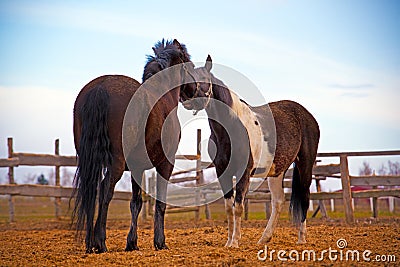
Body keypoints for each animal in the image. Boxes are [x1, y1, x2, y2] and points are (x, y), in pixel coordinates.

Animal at [72, 39, 197, 253]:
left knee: (91, 190)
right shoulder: (166, 164)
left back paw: (89, 243)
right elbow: (160, 203)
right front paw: (160, 242)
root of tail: (100, 88)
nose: (196, 90)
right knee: (105, 190)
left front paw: (132, 243)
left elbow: (135, 203)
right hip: (116, 163)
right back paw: (100, 242)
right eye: (190, 63)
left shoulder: (137, 168)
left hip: (89, 160)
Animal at [180, 56, 320, 249]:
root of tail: (307, 116)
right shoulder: (222, 172)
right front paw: (229, 241)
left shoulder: (243, 172)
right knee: (278, 201)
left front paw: (235, 242)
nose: (185, 98)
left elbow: (238, 207)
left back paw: (301, 238)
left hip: (305, 164)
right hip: (276, 171)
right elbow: (228, 208)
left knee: (304, 198)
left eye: (204, 79)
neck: (231, 128)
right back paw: (264, 238)